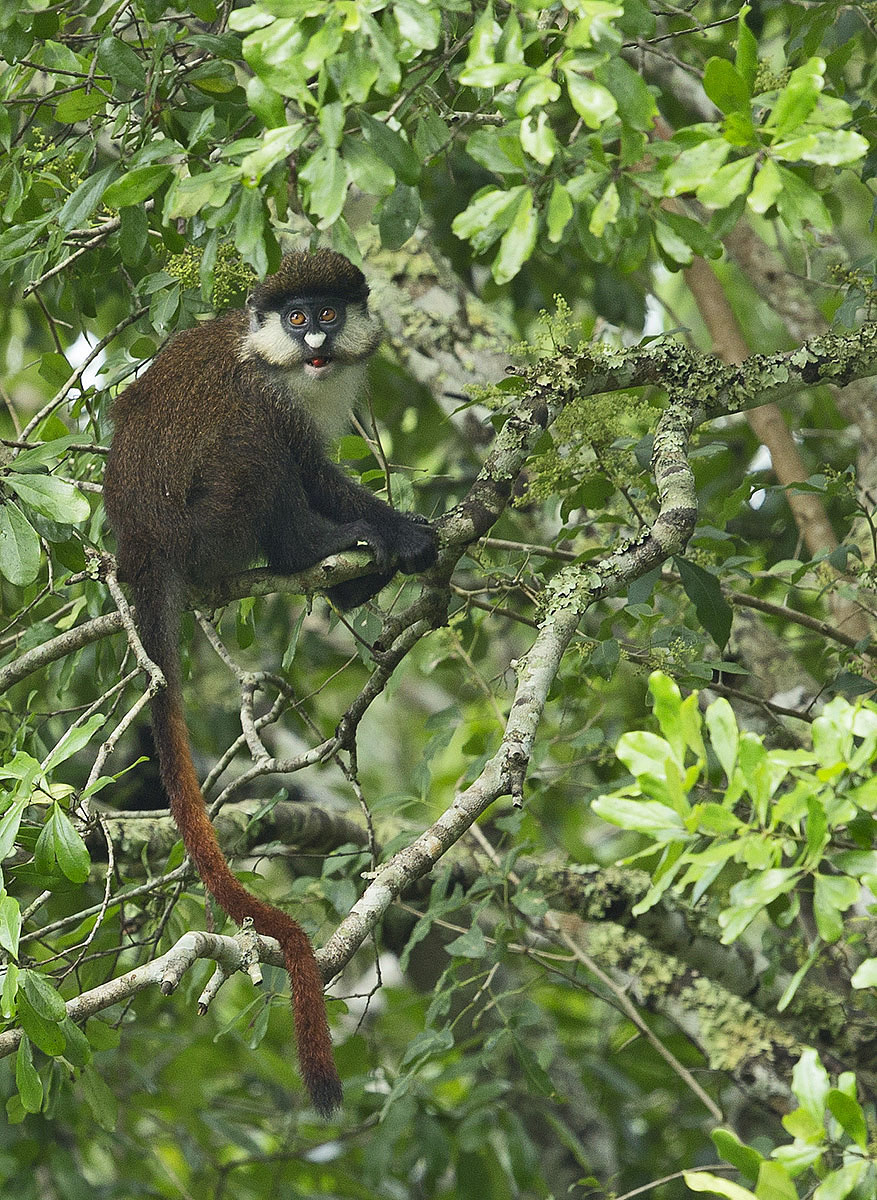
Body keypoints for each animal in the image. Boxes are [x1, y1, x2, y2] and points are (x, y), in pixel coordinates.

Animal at [102, 249, 438, 1116]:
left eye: (325, 311)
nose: (315, 339)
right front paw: (399, 532)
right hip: (207, 525)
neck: (282, 365)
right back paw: (314, 551)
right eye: (294, 318)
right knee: (256, 456)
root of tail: (140, 545)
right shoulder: (269, 401)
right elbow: (310, 469)